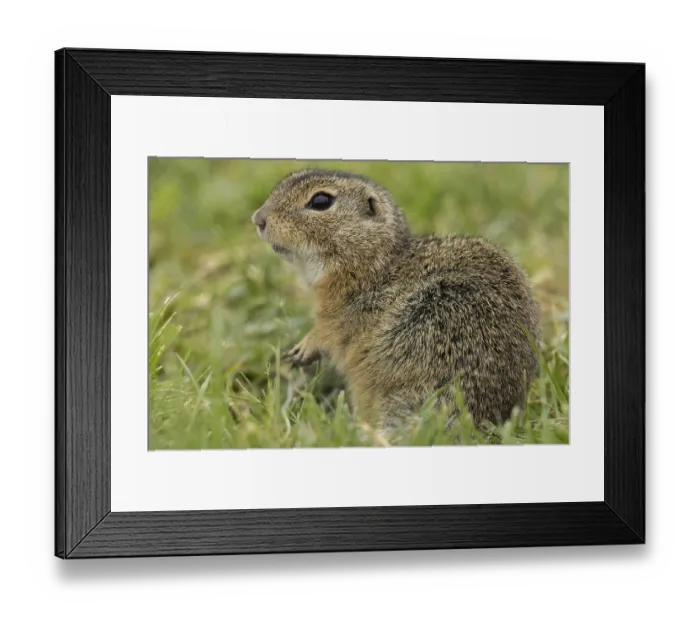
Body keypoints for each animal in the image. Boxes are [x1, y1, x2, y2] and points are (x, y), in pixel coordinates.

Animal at [252, 169, 541, 435]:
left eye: (321, 201)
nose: (258, 219)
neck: (374, 263)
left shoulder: (338, 318)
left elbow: (325, 334)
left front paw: (302, 349)